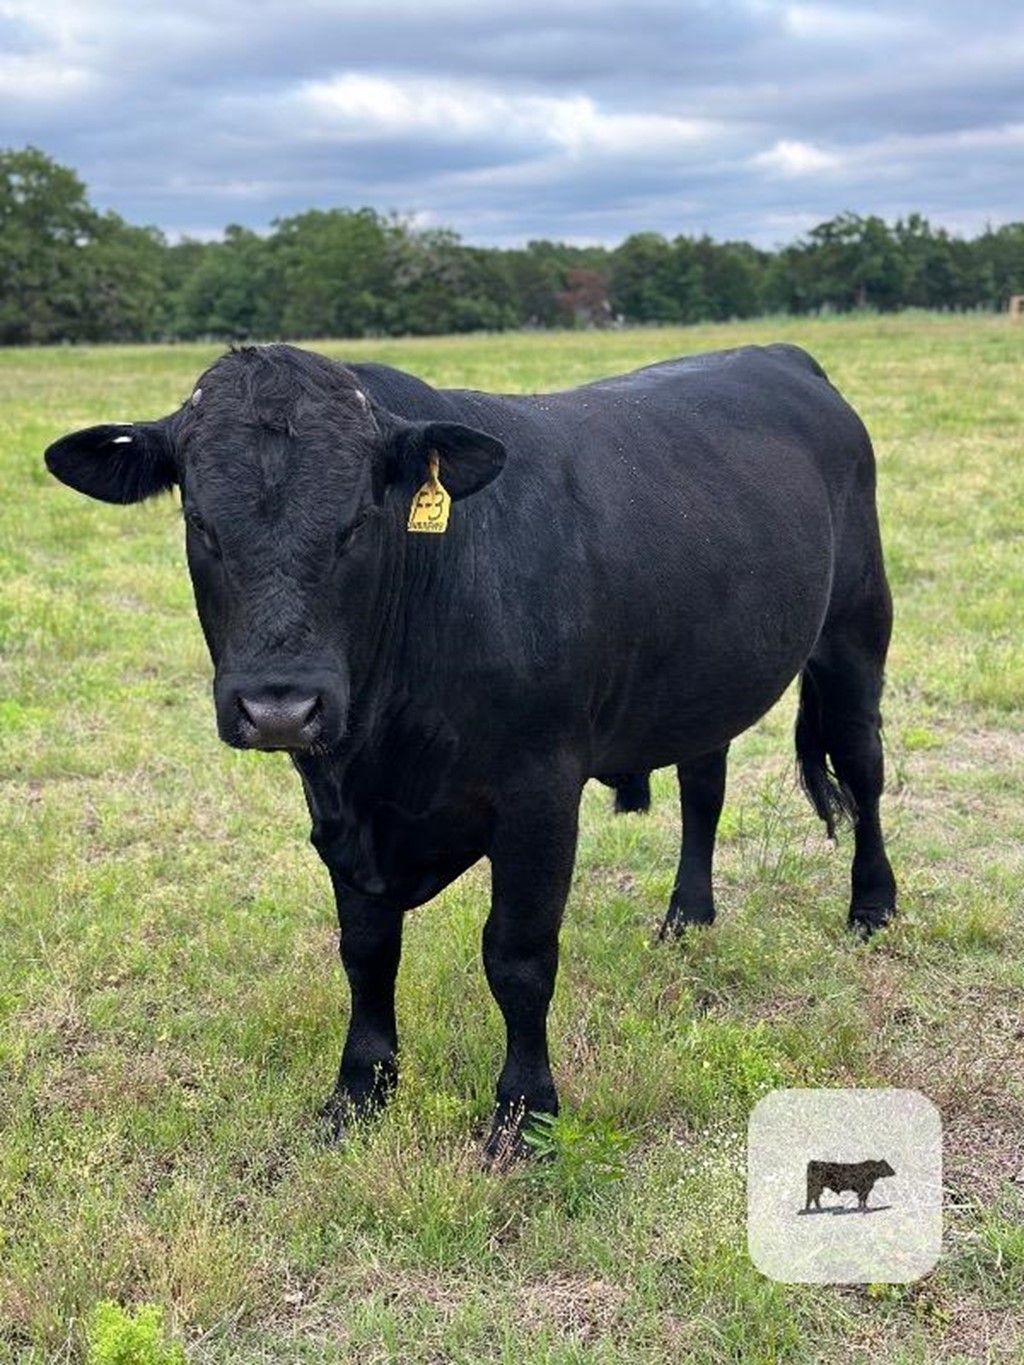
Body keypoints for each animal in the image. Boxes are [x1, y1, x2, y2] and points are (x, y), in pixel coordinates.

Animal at [46, 343, 895, 1162]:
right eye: (200, 521)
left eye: (359, 521)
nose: (279, 705)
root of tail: (780, 355)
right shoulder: (338, 807)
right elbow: (366, 950)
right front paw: (359, 1090)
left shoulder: (539, 794)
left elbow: (517, 957)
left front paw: (525, 1115)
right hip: (701, 680)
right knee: (704, 786)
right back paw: (687, 916)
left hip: (854, 634)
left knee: (863, 770)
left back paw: (873, 907)